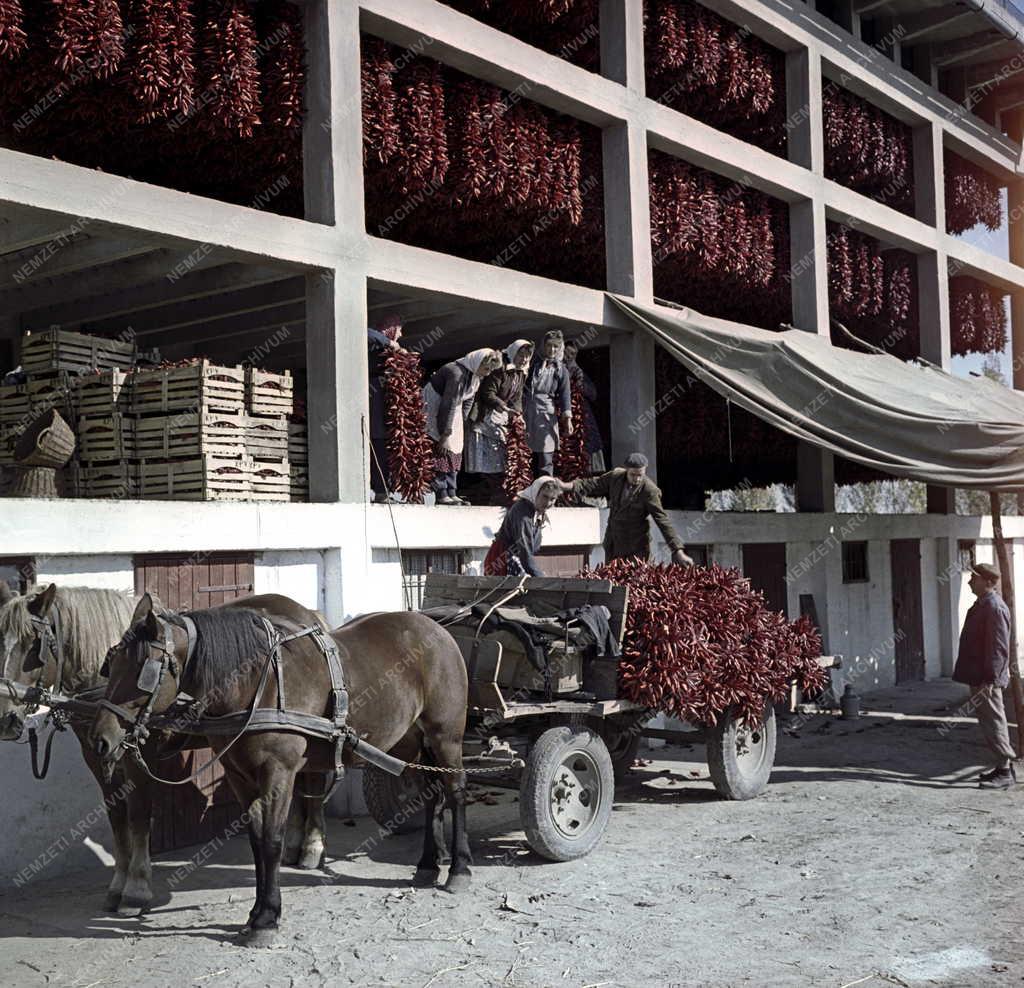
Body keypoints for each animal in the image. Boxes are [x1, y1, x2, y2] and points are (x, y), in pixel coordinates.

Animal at [91, 589, 471, 946]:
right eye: (112, 662)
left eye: (143, 669)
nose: (101, 740)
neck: (256, 685)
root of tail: (434, 626)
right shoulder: (239, 776)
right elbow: (257, 840)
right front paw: (256, 912)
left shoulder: (279, 772)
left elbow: (273, 839)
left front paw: (267, 918)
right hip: (408, 740)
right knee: (430, 795)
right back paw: (428, 864)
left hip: (446, 737)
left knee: (455, 793)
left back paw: (460, 868)